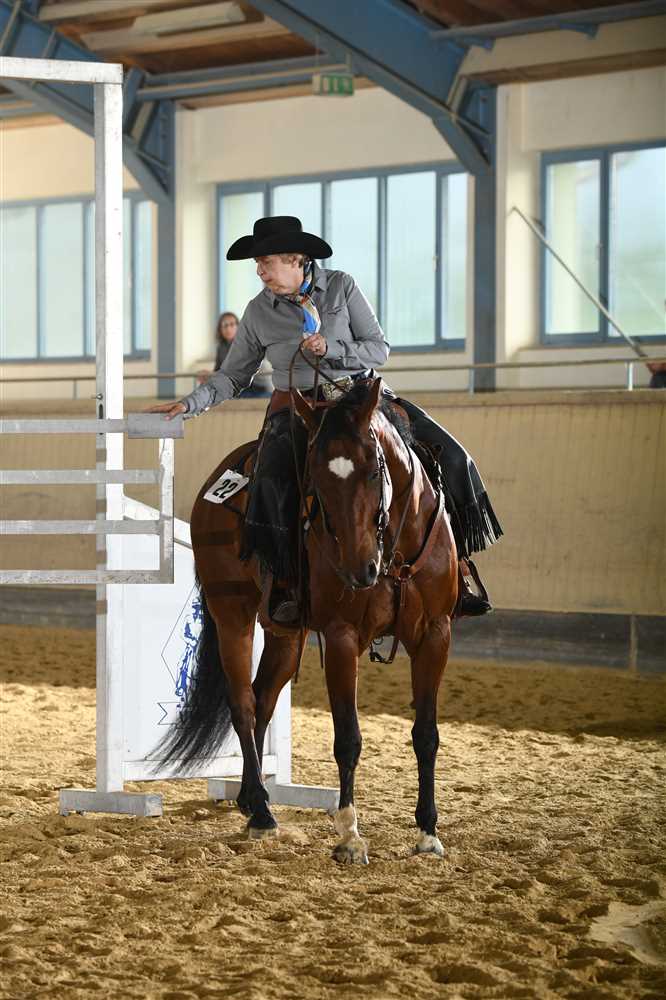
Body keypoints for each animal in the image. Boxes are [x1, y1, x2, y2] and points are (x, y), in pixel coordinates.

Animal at [155, 377, 458, 864]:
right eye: (314, 478)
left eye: (373, 471)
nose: (359, 570)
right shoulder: (341, 638)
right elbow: (348, 737)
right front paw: (350, 836)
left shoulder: (435, 634)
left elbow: (426, 734)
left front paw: (428, 832)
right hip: (231, 613)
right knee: (242, 703)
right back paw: (262, 814)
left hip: (285, 634)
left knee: (262, 698)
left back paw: (250, 796)